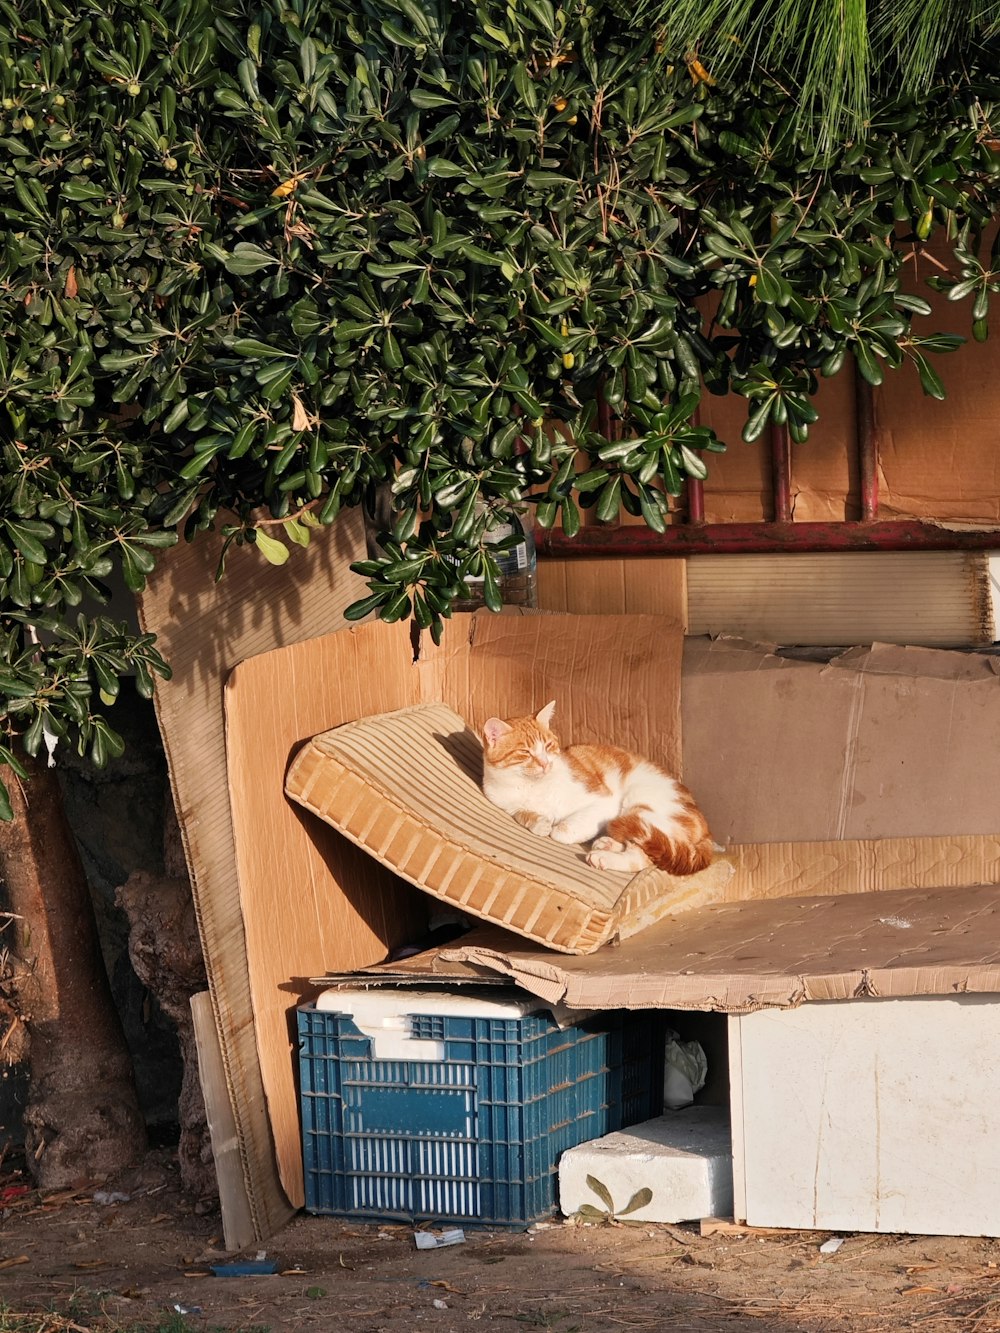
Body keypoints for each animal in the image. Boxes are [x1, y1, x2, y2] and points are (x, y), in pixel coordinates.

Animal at [482, 698, 714, 874]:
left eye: (548, 746)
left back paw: (604, 857)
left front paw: (555, 827)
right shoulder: (504, 802)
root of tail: (706, 830)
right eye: (525, 752)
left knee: (643, 856)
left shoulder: (604, 802)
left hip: (639, 804)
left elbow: (562, 830)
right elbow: (521, 814)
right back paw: (607, 843)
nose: (545, 763)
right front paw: (539, 822)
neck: (532, 787)